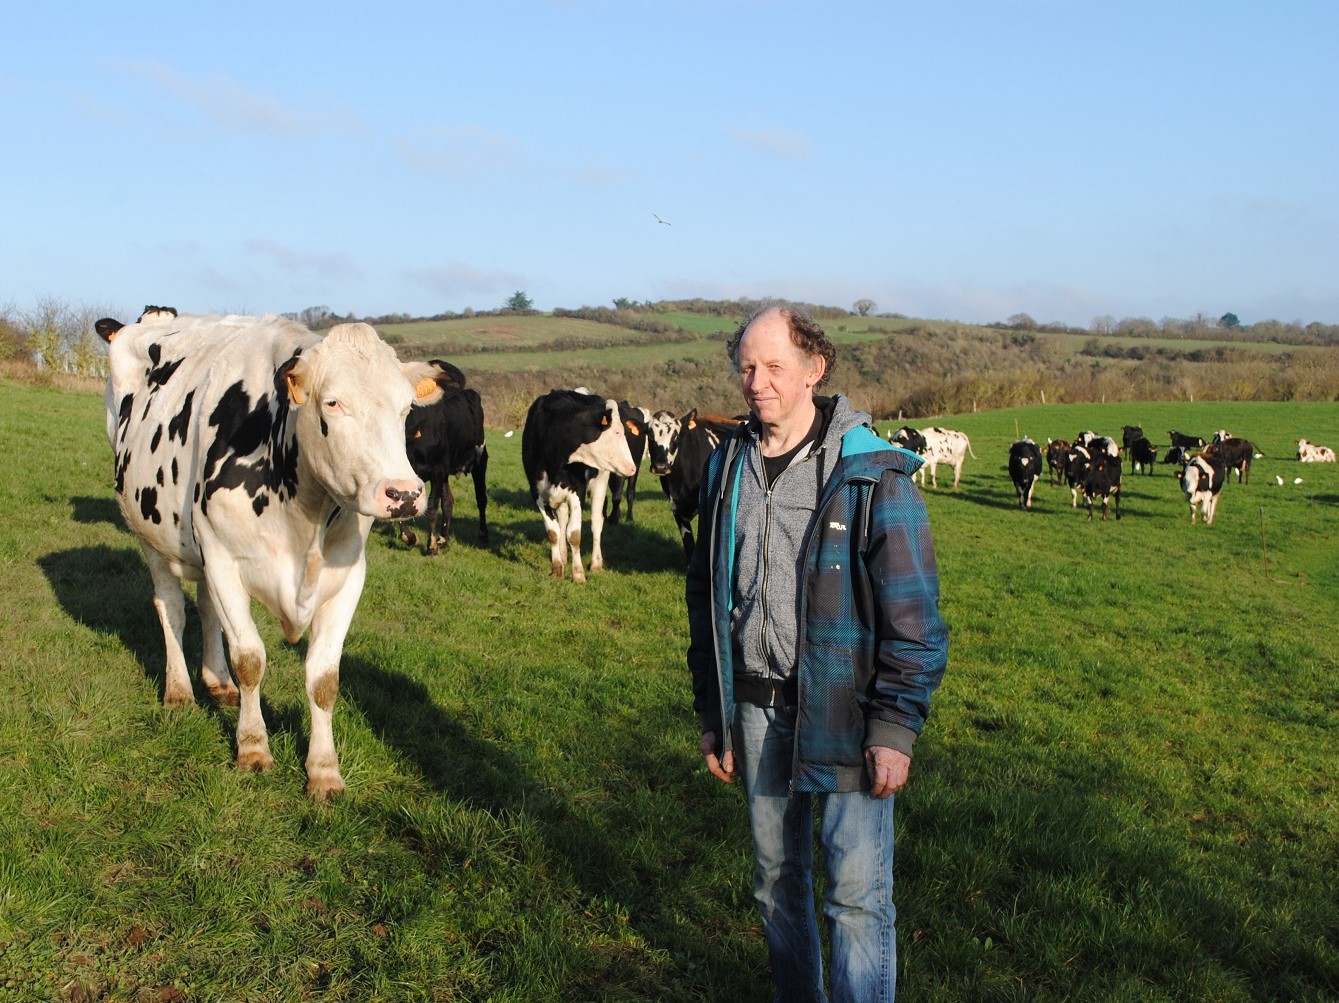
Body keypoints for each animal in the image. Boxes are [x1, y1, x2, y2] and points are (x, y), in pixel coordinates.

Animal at [94, 313, 439, 798]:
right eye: (332, 402)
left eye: (407, 408)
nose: (404, 494)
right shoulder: (223, 559)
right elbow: (251, 660)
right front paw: (253, 748)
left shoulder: (348, 577)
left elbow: (324, 679)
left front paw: (324, 770)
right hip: (150, 533)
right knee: (172, 608)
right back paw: (179, 690)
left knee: (207, 609)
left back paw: (217, 682)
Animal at [396, 358, 492, 554]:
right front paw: (410, 537)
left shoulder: (437, 470)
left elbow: (432, 506)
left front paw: (431, 545)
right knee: (448, 501)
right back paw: (444, 539)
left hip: (480, 459)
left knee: (481, 498)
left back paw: (483, 534)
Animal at [519, 388, 634, 583]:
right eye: (618, 432)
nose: (632, 467)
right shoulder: (537, 493)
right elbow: (554, 532)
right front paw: (557, 569)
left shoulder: (577, 492)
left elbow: (574, 534)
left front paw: (578, 574)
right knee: (562, 520)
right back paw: (564, 557)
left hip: (601, 482)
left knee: (596, 522)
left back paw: (595, 563)